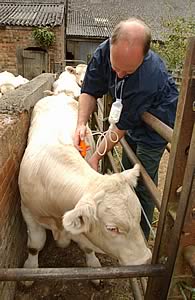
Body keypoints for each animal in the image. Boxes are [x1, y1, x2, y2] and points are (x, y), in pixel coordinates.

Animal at [18, 94, 152, 286]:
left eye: (138, 217)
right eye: (112, 228)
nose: (145, 260)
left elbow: (87, 247)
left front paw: (94, 266)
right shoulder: (27, 211)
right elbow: (35, 244)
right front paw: (30, 271)